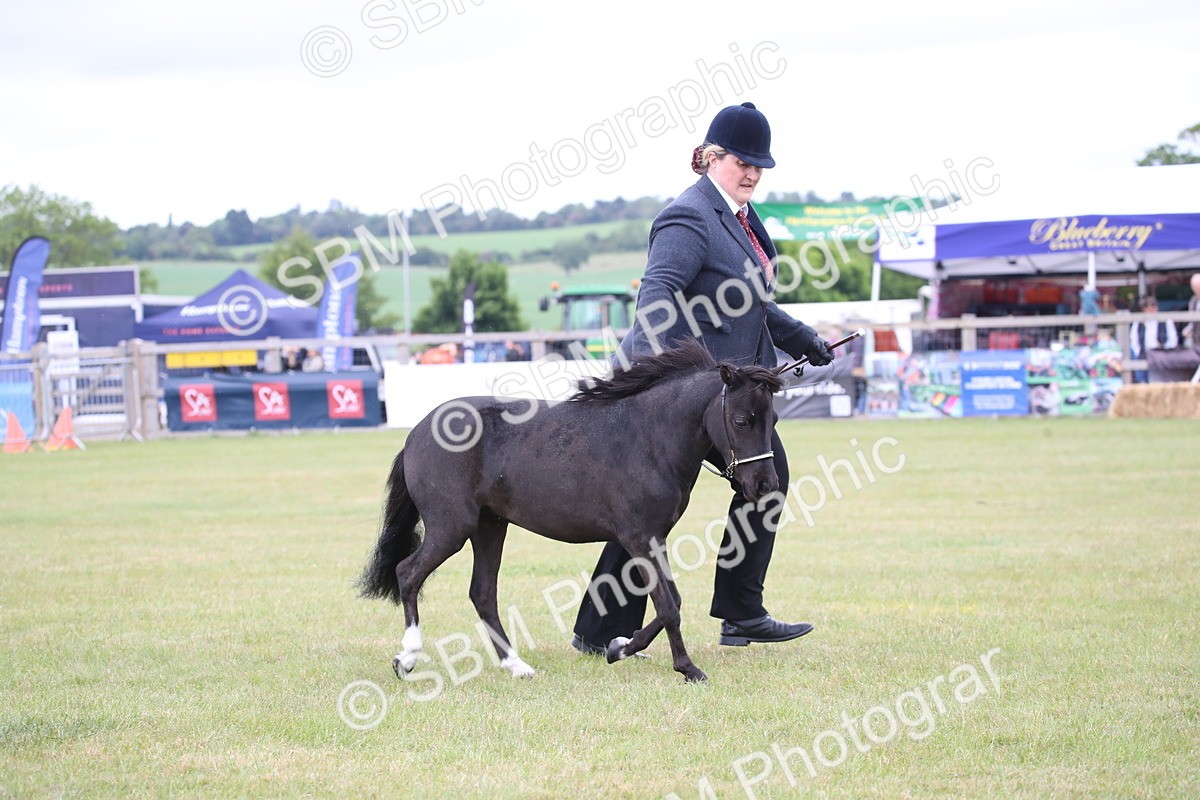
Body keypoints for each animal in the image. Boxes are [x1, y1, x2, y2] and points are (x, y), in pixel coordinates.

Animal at [358, 339, 785, 683]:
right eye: (741, 420)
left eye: (774, 418)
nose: (765, 485)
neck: (649, 439)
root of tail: (417, 433)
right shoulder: (640, 538)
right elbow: (668, 605)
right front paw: (688, 668)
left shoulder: (654, 538)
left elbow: (672, 602)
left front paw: (619, 647)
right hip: (452, 527)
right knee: (408, 574)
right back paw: (407, 657)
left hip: (489, 526)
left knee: (482, 593)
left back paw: (517, 666)